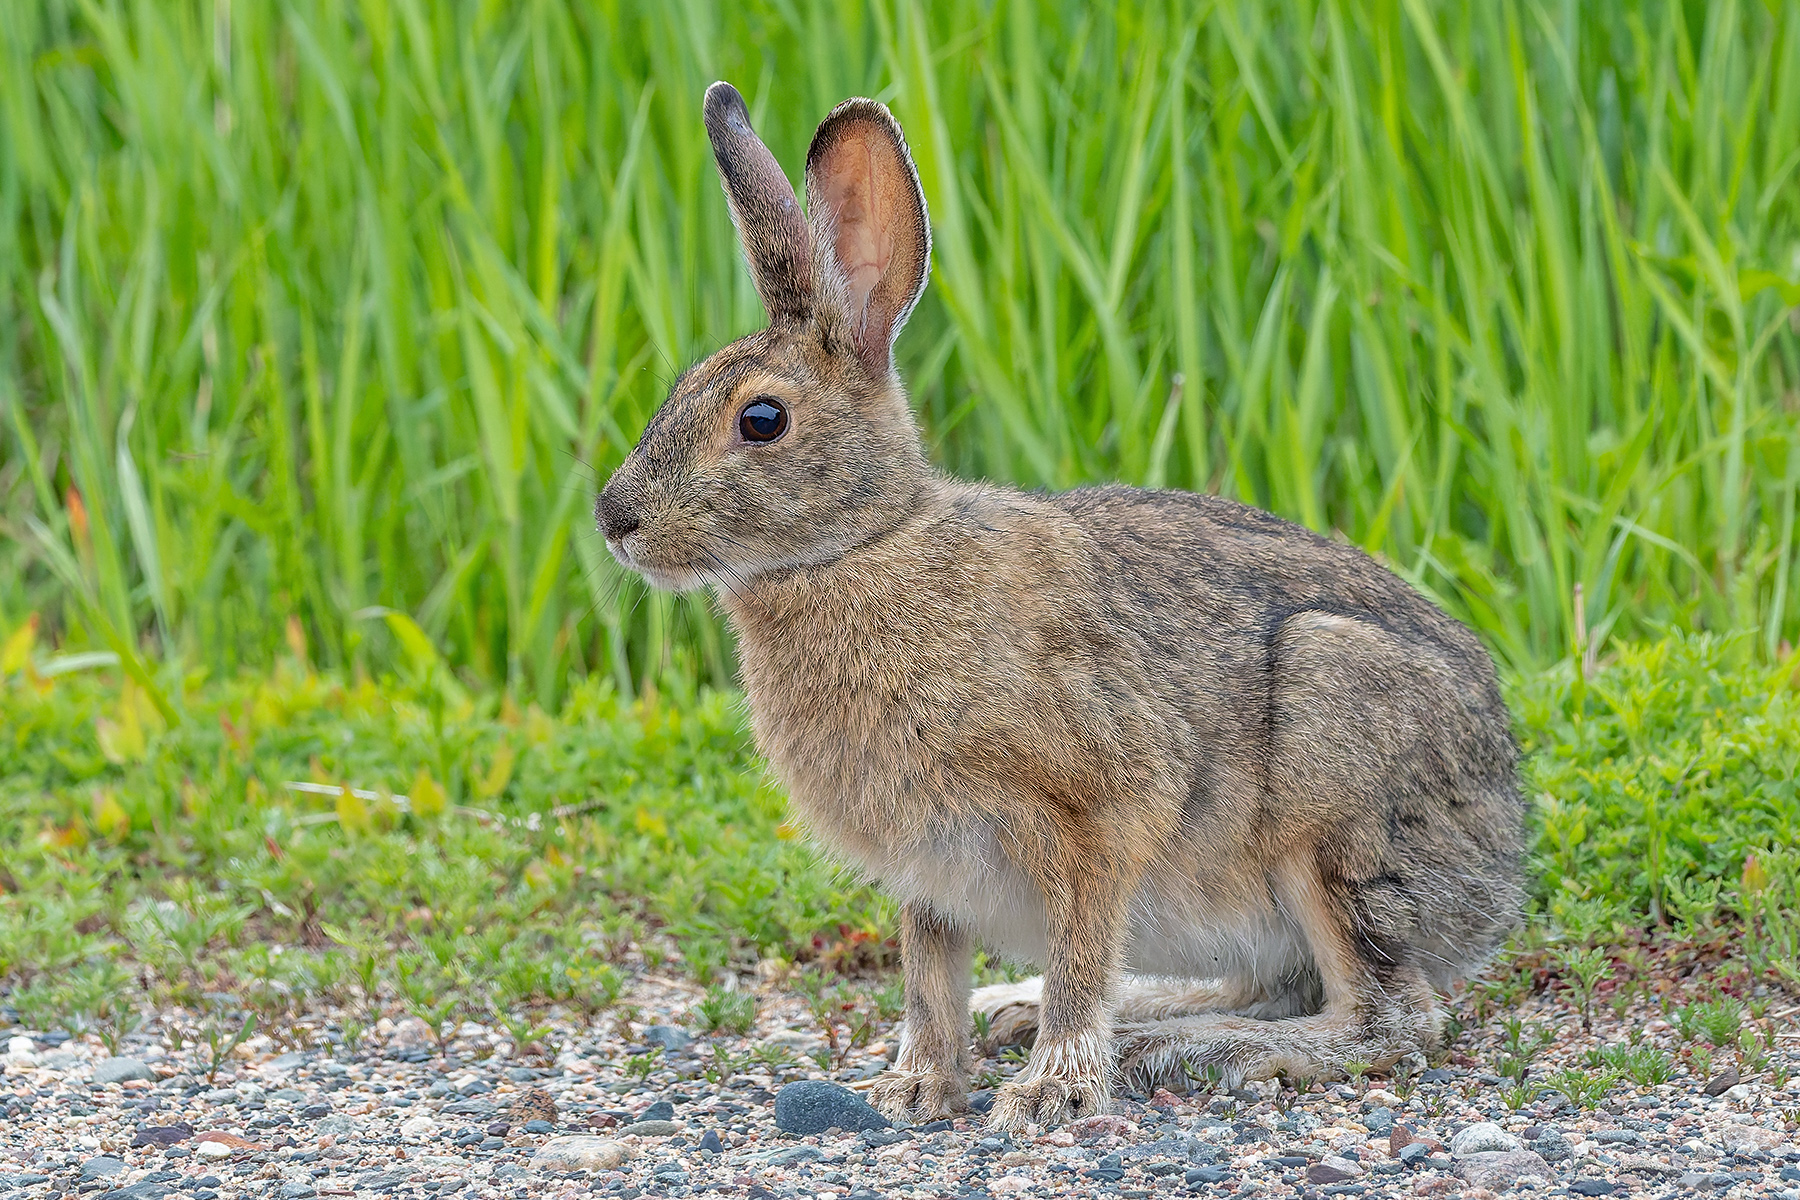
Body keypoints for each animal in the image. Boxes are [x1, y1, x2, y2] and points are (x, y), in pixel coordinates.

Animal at [597, 81, 1526, 1131]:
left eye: (762, 420)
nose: (614, 518)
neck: (863, 548)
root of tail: (1503, 854)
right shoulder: (929, 871)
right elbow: (929, 980)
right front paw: (917, 1087)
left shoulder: (1096, 815)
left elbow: (1081, 956)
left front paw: (1053, 1090)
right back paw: (1064, 1011)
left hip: (1333, 798)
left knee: (1389, 1018)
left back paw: (1195, 1048)